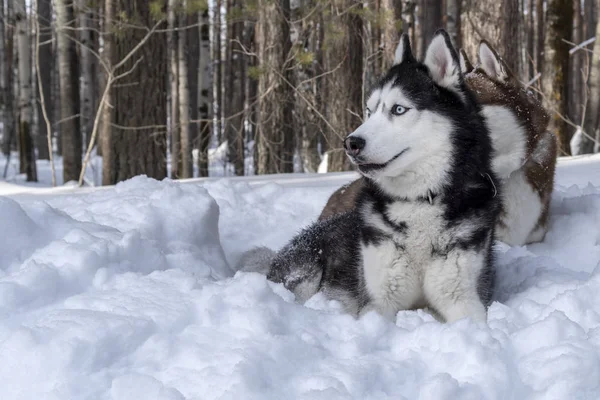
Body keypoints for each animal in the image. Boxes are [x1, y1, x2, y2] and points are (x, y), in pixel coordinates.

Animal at [246, 32, 500, 324]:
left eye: (398, 109)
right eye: (369, 111)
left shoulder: (463, 299)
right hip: (307, 270)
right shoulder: (378, 301)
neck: (418, 201)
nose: (350, 143)